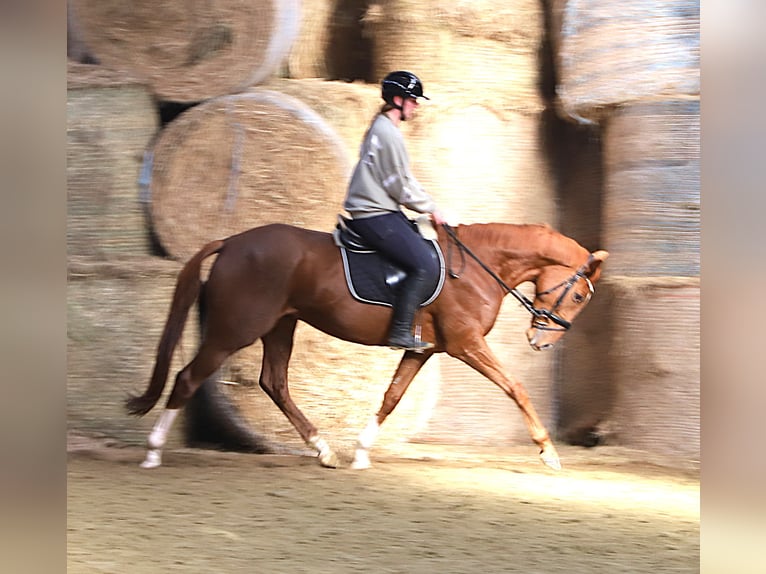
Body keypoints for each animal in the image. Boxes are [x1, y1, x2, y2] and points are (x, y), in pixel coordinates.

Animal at [126, 221, 608, 471]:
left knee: (274, 382)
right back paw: (153, 450)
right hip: (236, 329)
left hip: (280, 326)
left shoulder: (422, 349)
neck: (476, 266)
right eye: (579, 297)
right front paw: (548, 452)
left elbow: (392, 396)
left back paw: (323, 449)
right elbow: (516, 388)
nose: (541, 341)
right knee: (189, 377)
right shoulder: (465, 343)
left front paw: (360, 451)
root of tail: (231, 242)